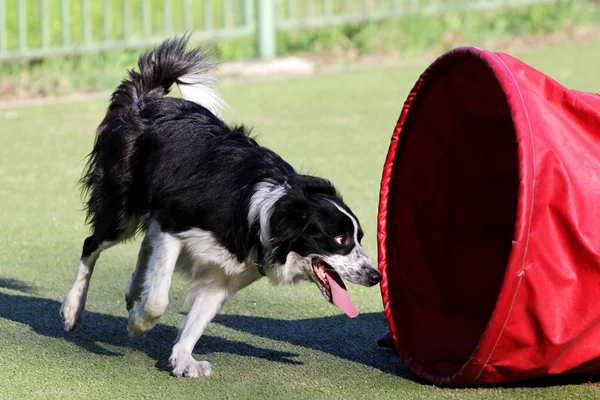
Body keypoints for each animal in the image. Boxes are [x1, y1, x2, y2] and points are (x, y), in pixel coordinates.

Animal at [59, 36, 380, 376]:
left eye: (359, 238)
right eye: (340, 239)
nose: (376, 276)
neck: (265, 215)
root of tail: (147, 99)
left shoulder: (224, 274)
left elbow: (199, 318)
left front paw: (184, 357)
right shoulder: (175, 224)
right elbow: (159, 299)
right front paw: (138, 324)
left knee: (144, 243)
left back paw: (133, 292)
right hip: (121, 209)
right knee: (92, 244)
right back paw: (73, 309)